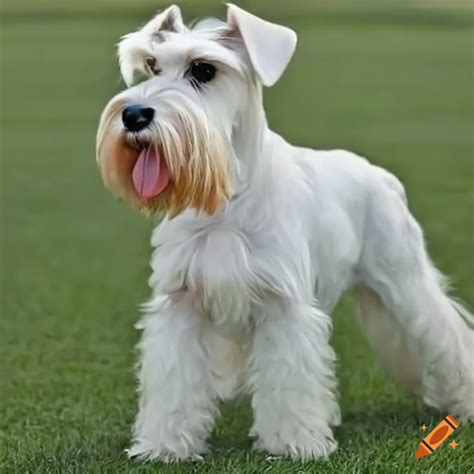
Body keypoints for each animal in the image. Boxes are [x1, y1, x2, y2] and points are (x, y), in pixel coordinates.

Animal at [97, 3, 474, 462]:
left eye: (203, 70)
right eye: (152, 65)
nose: (133, 115)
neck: (228, 197)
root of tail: (382, 177)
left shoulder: (283, 306)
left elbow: (289, 381)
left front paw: (295, 443)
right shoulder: (180, 304)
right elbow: (176, 382)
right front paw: (164, 445)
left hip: (405, 284)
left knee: (448, 336)